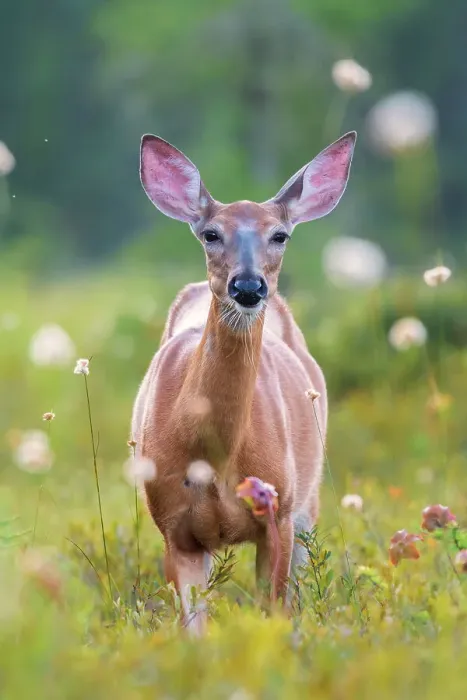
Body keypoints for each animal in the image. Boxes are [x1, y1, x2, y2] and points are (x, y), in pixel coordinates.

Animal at [132, 131, 356, 633]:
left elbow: (274, 616)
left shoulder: (279, 513)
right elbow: (193, 630)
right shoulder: (172, 526)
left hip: (308, 500)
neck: (215, 458)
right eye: (211, 234)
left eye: (280, 235)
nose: (249, 287)